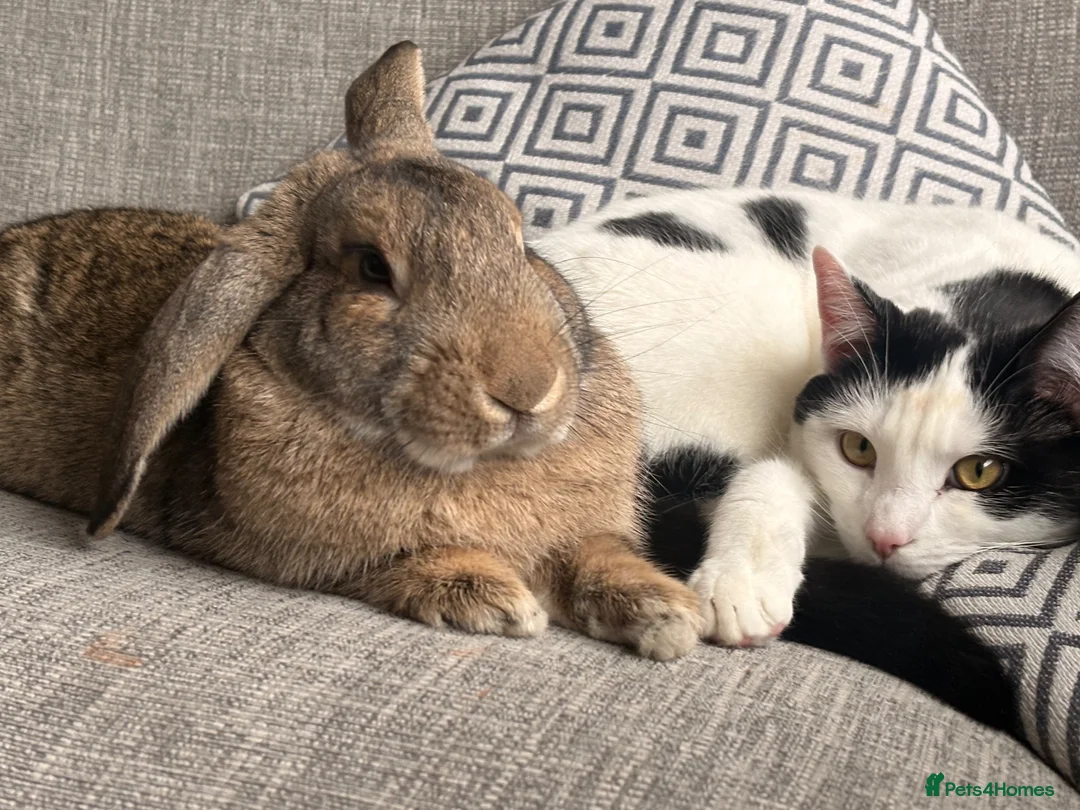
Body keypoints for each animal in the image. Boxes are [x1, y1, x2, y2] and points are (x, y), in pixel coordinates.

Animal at [0, 42, 701, 660]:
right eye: (372, 267)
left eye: (519, 241)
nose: (527, 390)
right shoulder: (303, 555)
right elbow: (400, 561)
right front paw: (497, 603)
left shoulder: (581, 535)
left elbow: (597, 555)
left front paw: (669, 615)